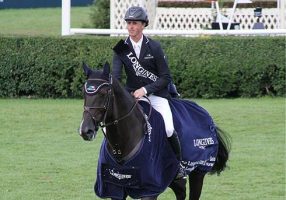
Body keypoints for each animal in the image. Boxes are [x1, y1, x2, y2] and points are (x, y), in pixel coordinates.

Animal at [79, 62, 231, 200]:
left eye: (104, 93)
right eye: (84, 92)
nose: (86, 130)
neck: (122, 142)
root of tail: (207, 117)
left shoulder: (149, 190)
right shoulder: (114, 188)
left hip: (198, 172)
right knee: (181, 191)